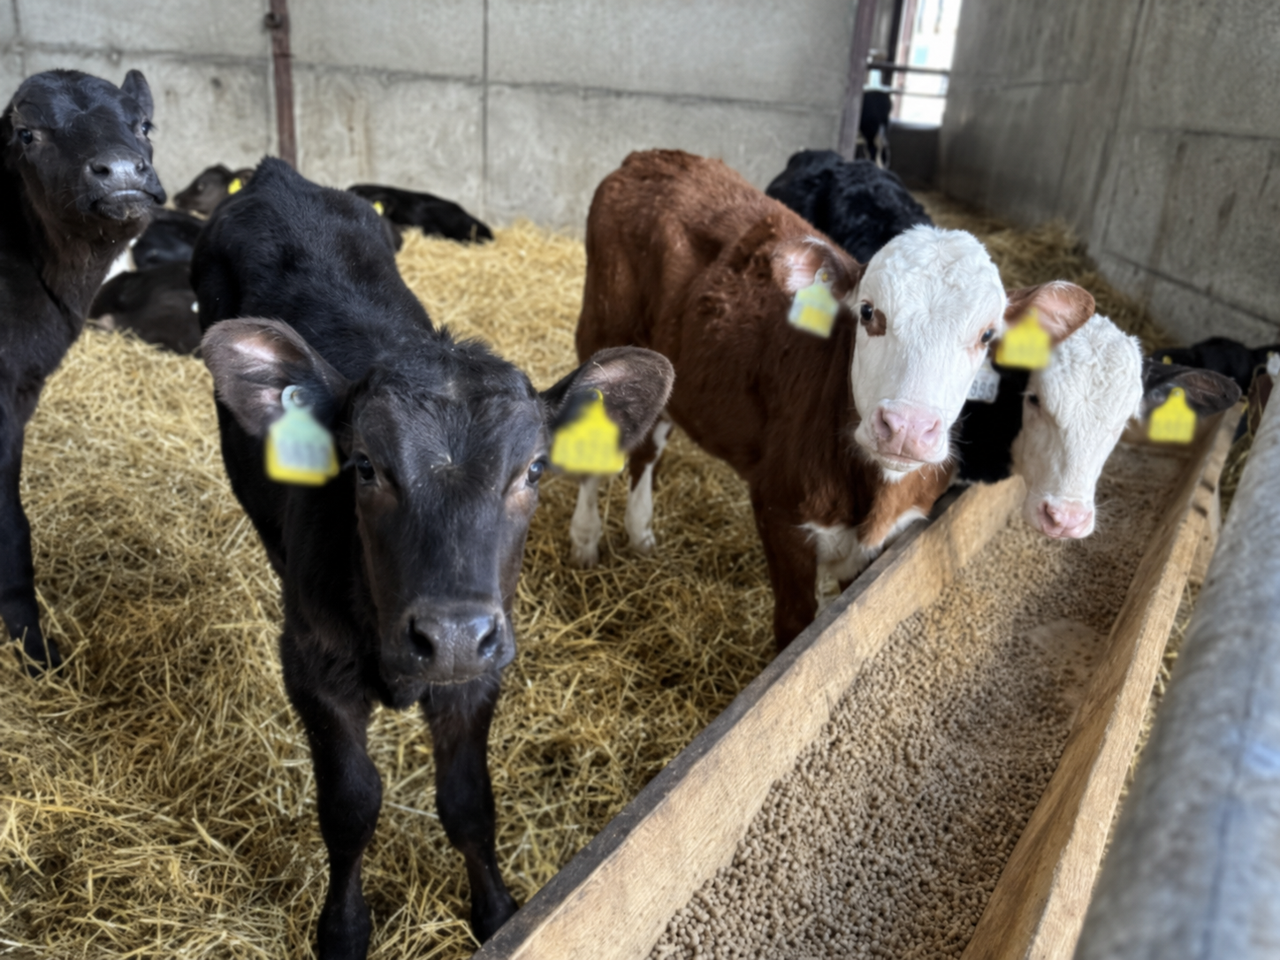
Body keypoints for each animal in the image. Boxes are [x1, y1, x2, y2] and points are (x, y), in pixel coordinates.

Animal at [192, 157, 672, 959]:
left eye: (533, 471)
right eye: (363, 466)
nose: (447, 635)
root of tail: (276, 174)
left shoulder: (481, 668)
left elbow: (470, 804)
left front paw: (499, 913)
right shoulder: (311, 666)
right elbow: (351, 805)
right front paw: (343, 929)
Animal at [567, 149, 1086, 647]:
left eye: (987, 335)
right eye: (868, 312)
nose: (907, 429)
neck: (872, 490)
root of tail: (649, 157)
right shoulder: (781, 513)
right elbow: (795, 625)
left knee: (649, 445)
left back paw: (640, 532)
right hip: (602, 329)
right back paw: (585, 541)